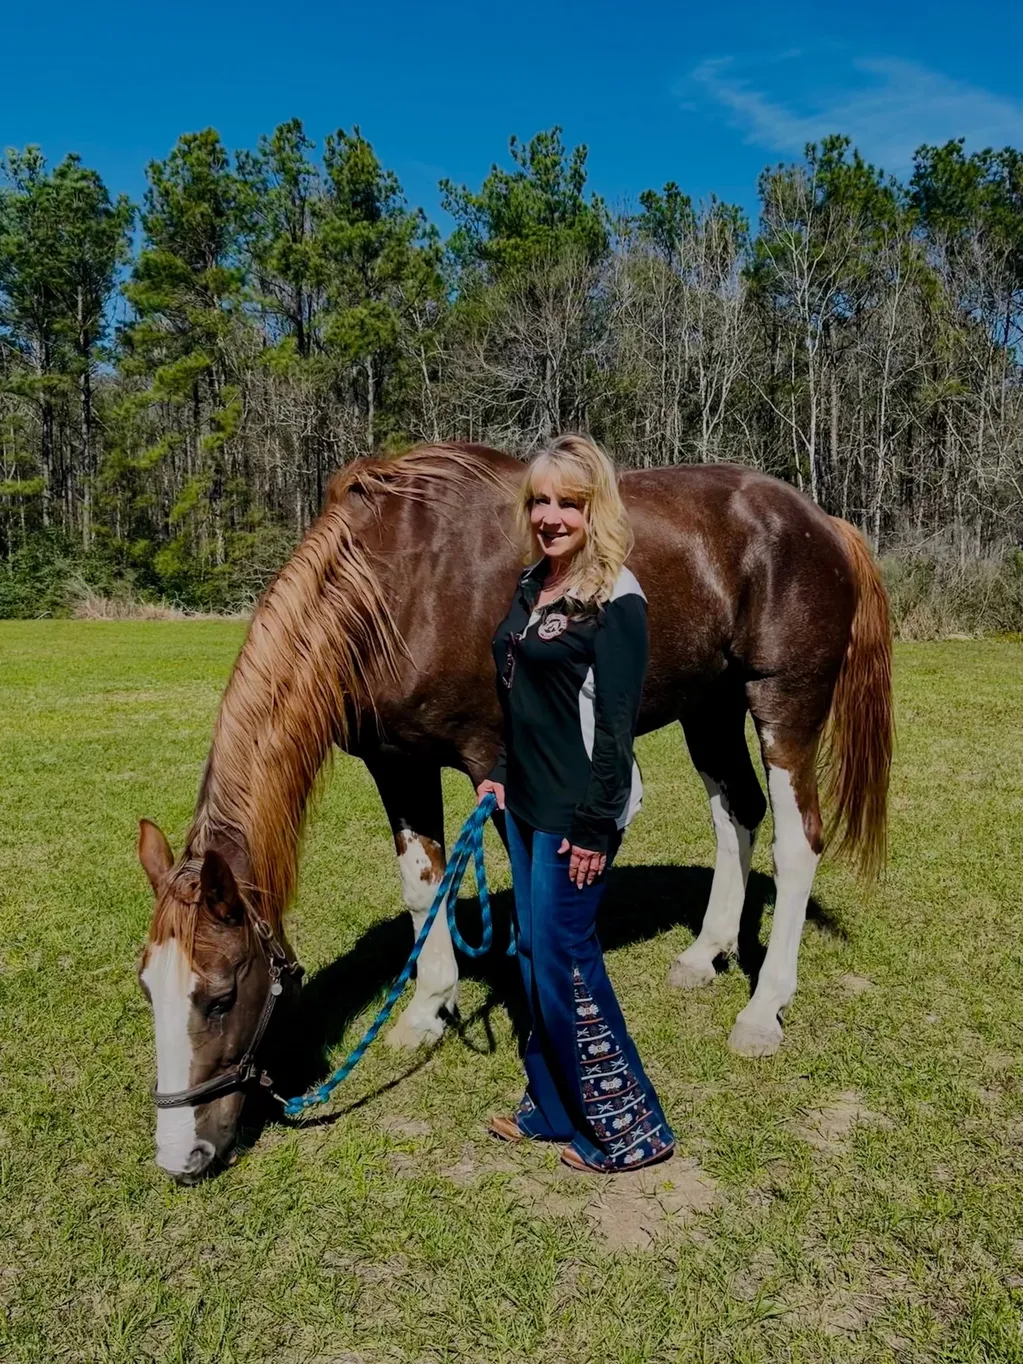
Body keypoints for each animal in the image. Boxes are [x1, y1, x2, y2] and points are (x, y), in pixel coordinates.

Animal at [136, 442, 892, 1182]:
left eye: (221, 996)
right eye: (148, 989)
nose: (180, 1156)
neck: (397, 583)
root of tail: (821, 522)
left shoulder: (492, 764)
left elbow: (530, 906)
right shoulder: (397, 763)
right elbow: (424, 885)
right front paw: (427, 1009)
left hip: (782, 702)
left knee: (797, 843)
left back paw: (763, 1010)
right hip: (709, 706)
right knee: (733, 813)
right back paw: (704, 953)